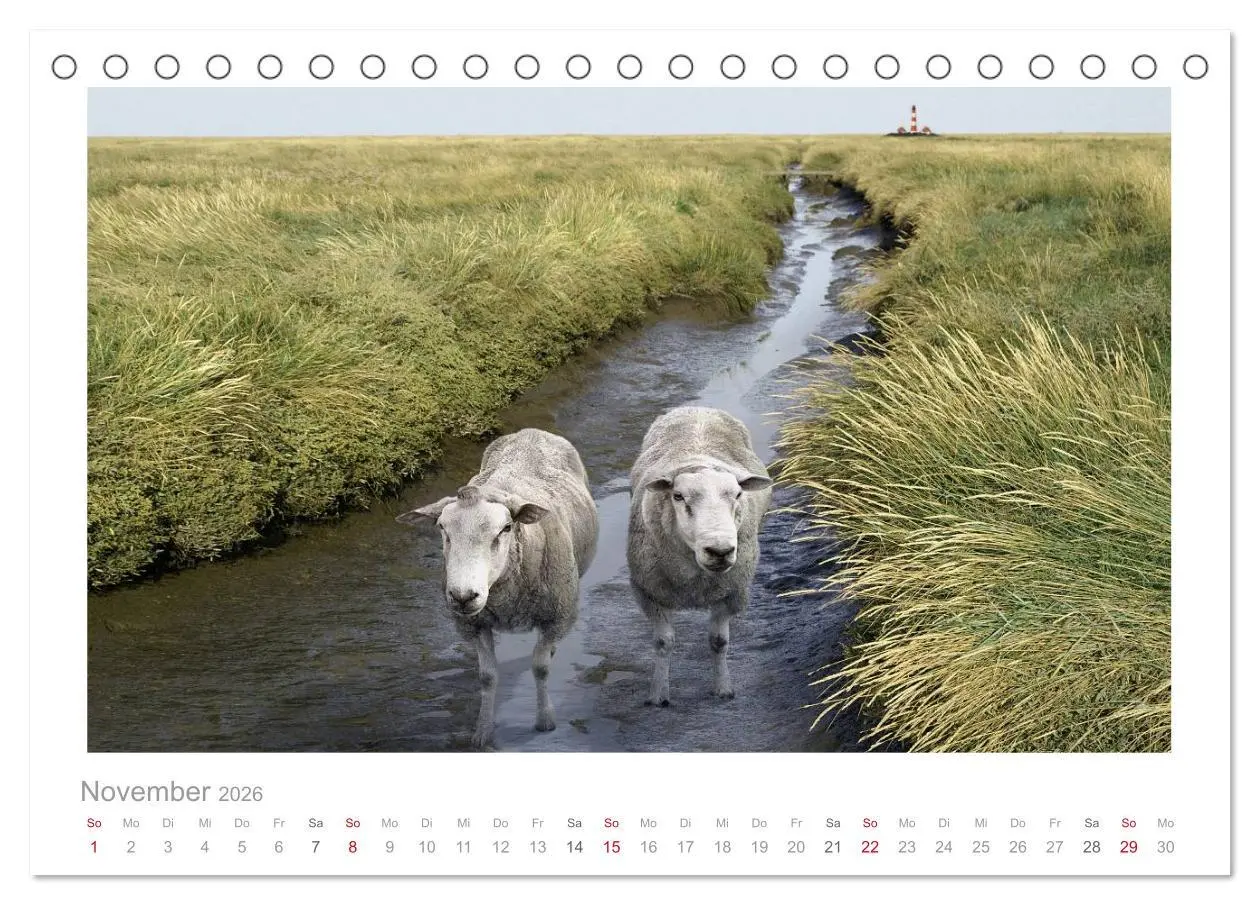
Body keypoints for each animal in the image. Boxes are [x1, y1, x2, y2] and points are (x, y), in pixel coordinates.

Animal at [396, 428, 598, 750]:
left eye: (505, 528)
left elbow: (540, 667)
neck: (506, 600)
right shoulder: (474, 625)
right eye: (441, 528)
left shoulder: (557, 616)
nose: (463, 596)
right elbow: (487, 677)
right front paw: (483, 731)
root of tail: (531, 431)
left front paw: (545, 721)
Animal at [627, 406, 773, 705]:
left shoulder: (732, 593)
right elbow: (663, 642)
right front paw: (658, 693)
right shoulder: (647, 592)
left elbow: (718, 642)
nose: (720, 551)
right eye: (678, 496)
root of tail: (698, 409)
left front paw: (723, 688)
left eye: (738, 494)